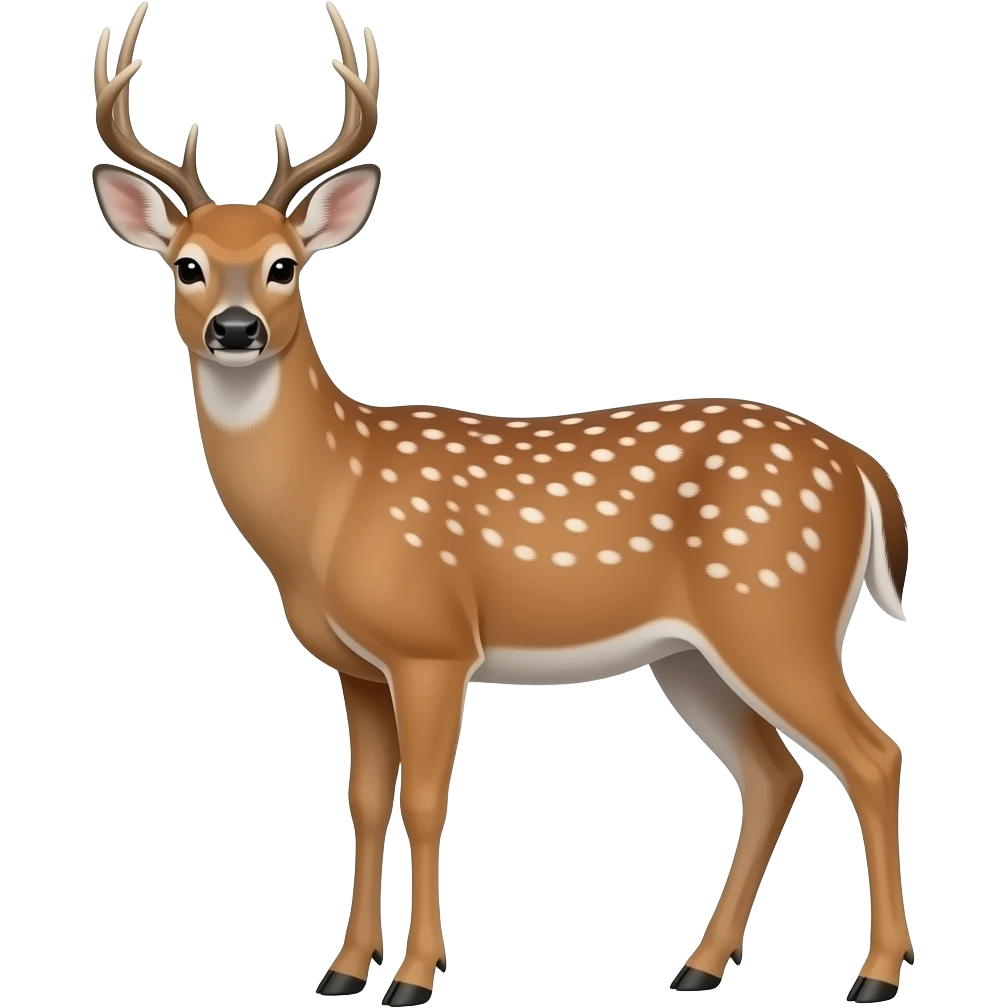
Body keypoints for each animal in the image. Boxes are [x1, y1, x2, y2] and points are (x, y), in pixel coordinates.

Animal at [91, 5, 914, 1005]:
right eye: (187, 266)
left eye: (286, 267)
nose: (235, 330)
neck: (331, 504)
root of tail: (864, 467)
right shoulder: (358, 665)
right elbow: (364, 802)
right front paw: (343, 970)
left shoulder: (434, 642)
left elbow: (423, 799)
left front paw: (414, 975)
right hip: (692, 653)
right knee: (772, 773)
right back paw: (699, 964)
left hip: (777, 609)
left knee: (872, 754)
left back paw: (875, 974)